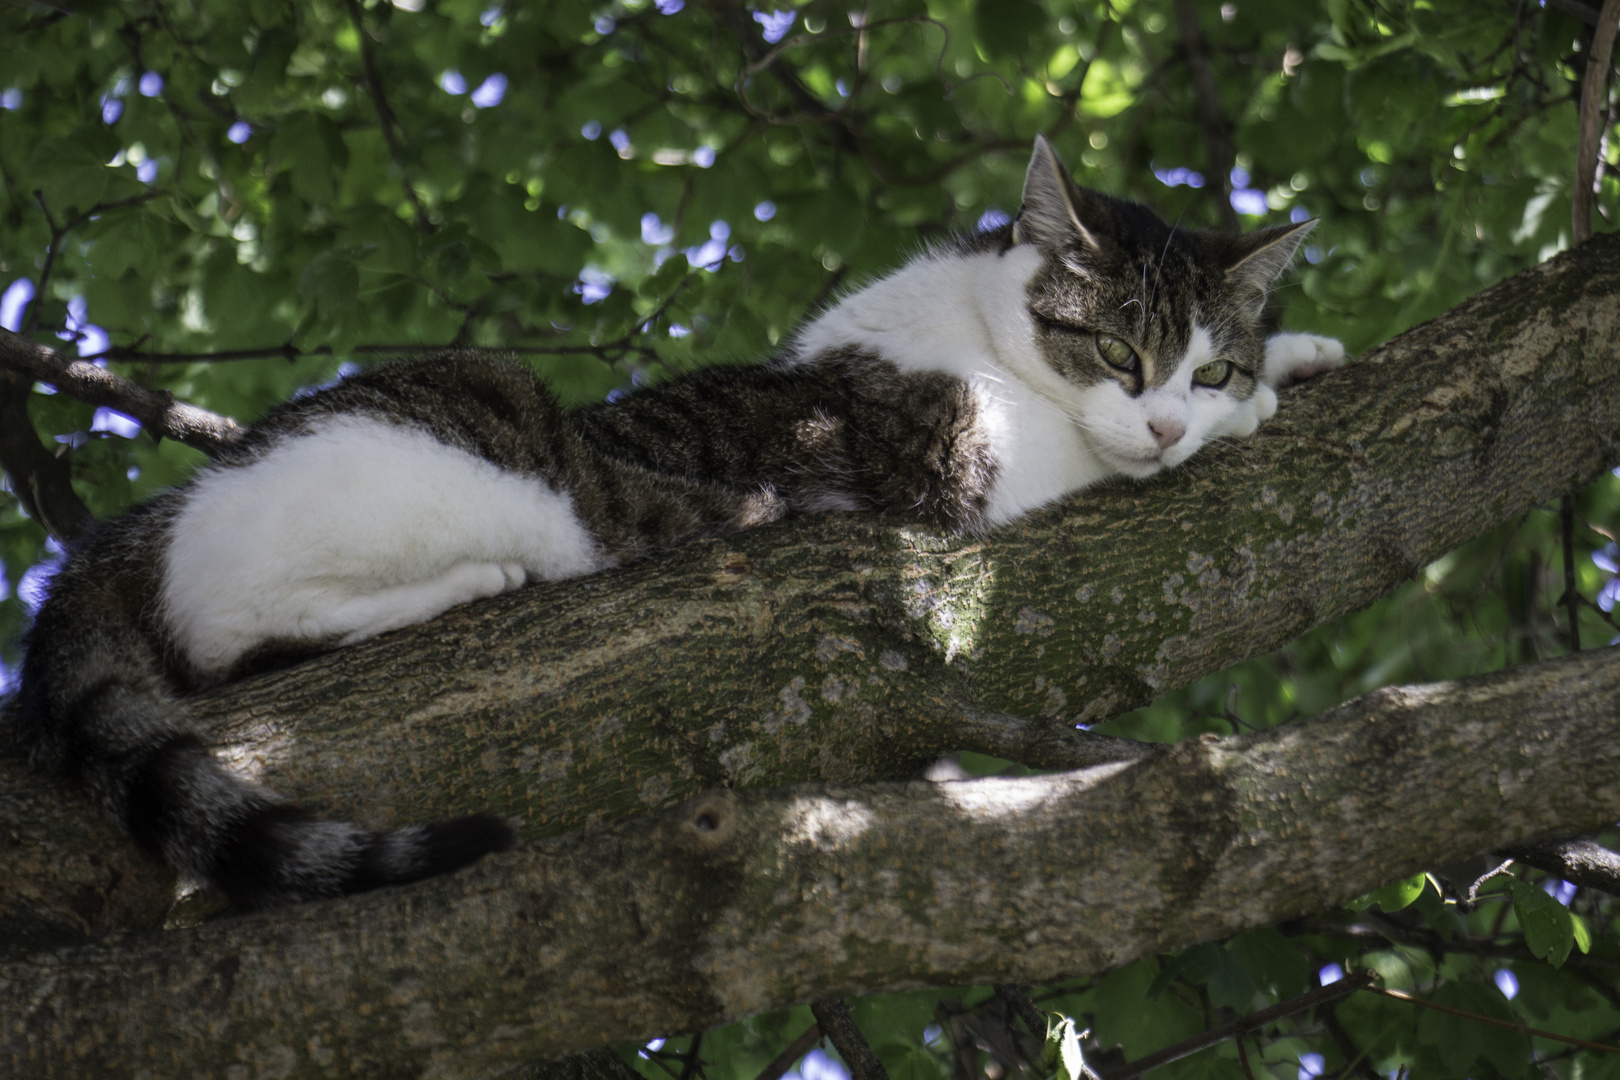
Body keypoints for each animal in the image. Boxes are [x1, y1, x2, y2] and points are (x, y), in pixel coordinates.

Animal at [3, 137, 1341, 913]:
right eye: (1119, 354)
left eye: (1205, 363)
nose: (1170, 421)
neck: (979, 316)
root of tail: (136, 526)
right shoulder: (967, 471)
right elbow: (1079, 456)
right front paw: (1264, 406)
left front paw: (1295, 361)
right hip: (474, 466)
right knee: (237, 633)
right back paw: (469, 587)